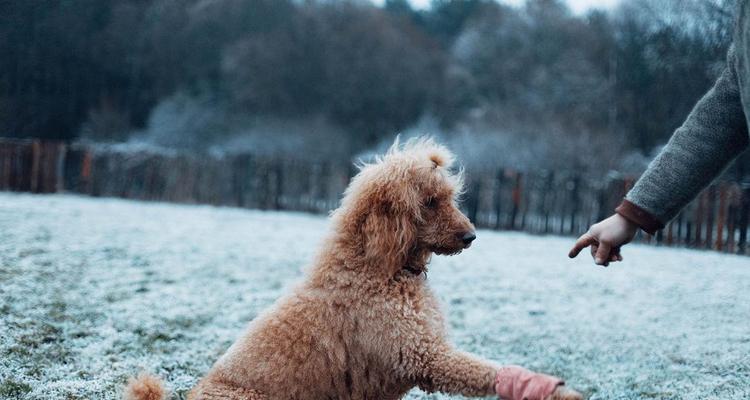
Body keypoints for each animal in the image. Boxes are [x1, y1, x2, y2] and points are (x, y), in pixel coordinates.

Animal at [125, 138, 580, 400]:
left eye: (450, 197)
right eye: (429, 202)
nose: (471, 236)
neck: (378, 269)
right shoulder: (421, 354)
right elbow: (482, 371)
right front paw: (549, 389)